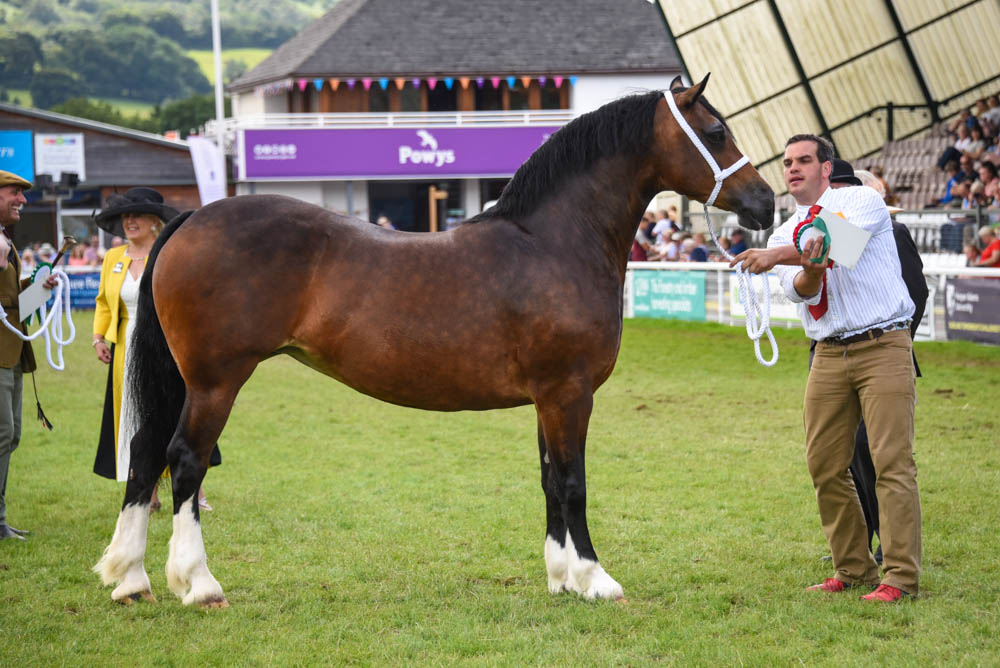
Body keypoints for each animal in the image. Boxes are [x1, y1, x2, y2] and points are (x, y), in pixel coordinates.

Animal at [95, 75, 772, 608]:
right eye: (716, 131)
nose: (765, 203)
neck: (553, 243)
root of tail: (192, 217)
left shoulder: (547, 399)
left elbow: (550, 481)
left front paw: (560, 577)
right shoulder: (570, 393)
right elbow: (574, 482)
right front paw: (594, 578)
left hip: (184, 379)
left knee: (147, 453)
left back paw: (130, 578)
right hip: (215, 380)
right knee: (185, 461)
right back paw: (198, 583)